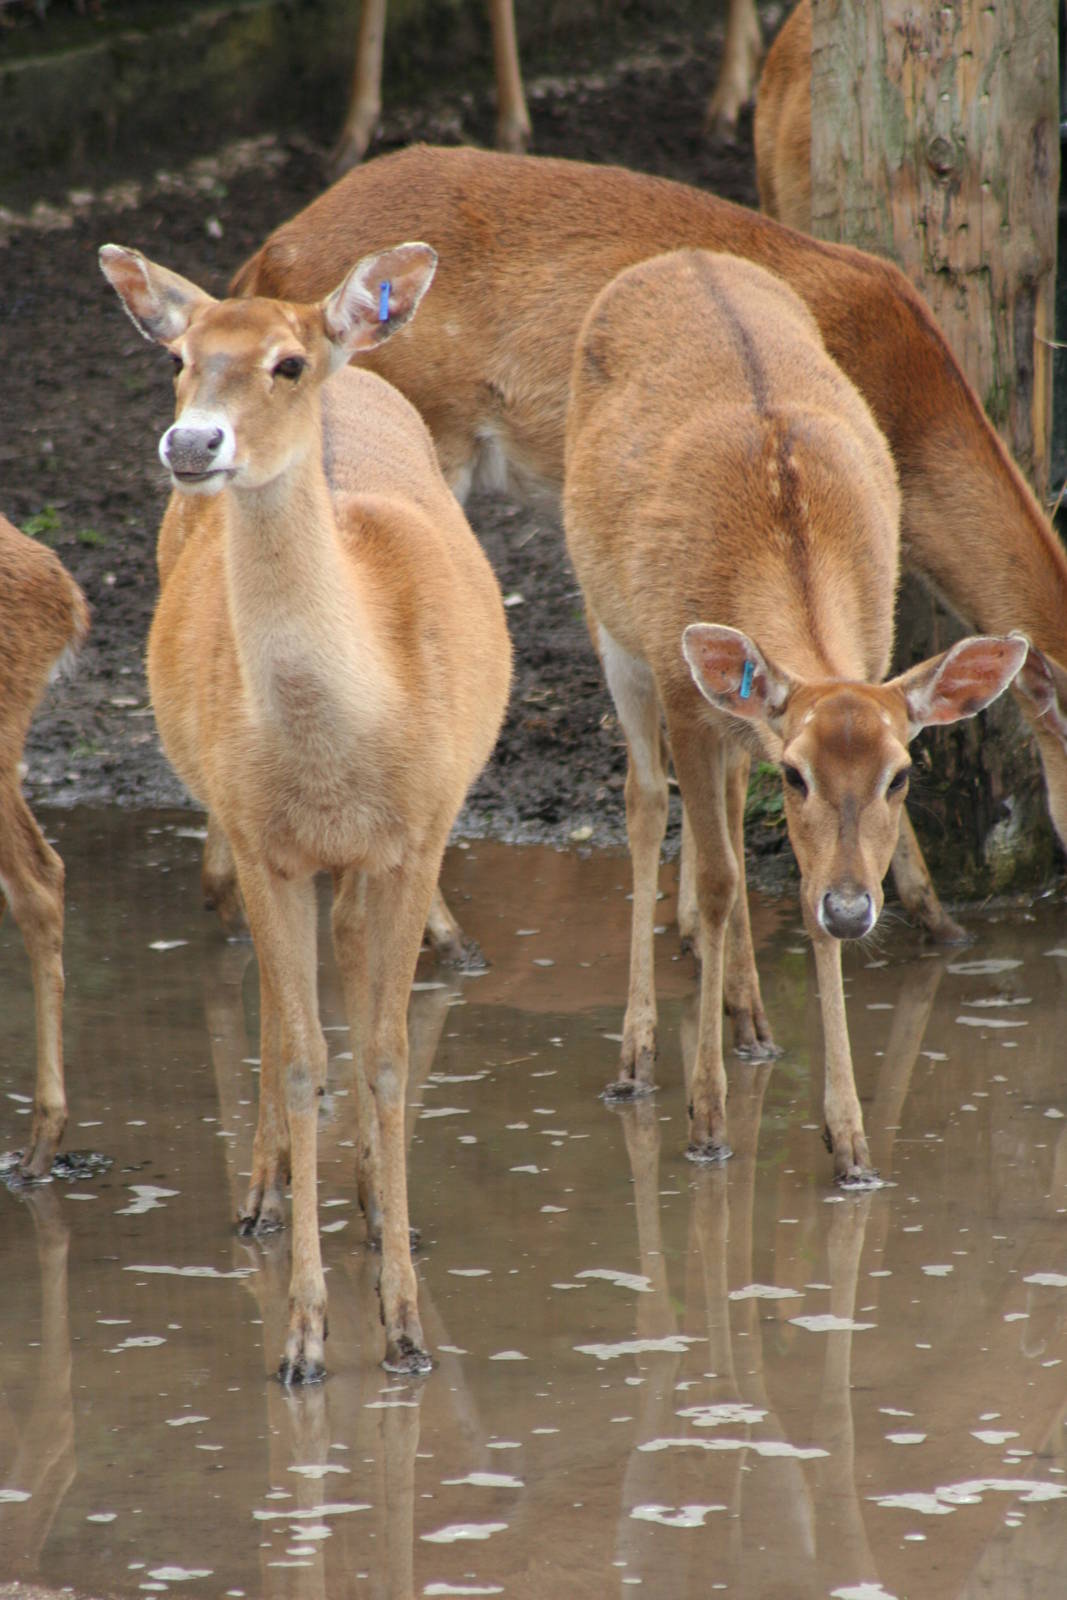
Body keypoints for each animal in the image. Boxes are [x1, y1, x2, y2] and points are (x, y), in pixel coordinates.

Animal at [99, 240, 512, 1381]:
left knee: (357, 980)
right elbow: (296, 1056)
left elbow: (386, 1054)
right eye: (182, 358)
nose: (193, 441)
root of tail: (362, 368)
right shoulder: (260, 838)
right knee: (284, 1010)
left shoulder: (418, 833)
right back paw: (265, 1195)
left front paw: (406, 1327)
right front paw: (303, 1339)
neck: (339, 751)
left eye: (285, 365)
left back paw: (371, 1202)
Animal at [563, 248, 1025, 1180]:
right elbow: (709, 881)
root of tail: (678, 256)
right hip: (609, 624)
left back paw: (752, 1025)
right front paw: (706, 1121)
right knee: (643, 803)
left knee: (727, 817)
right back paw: (637, 1058)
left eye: (900, 776)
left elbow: (786, 887)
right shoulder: (686, 696)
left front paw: (849, 1144)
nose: (854, 911)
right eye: (798, 775)